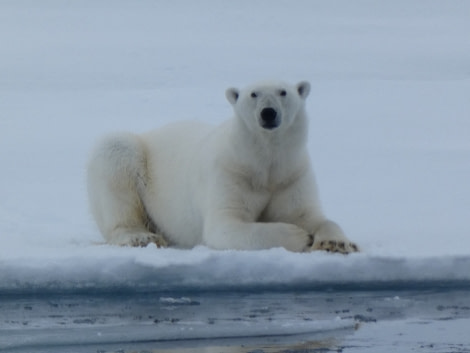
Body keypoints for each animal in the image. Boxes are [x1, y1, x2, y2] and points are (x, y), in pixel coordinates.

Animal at [88, 81, 358, 252]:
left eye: (283, 92)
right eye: (253, 94)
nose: (268, 113)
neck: (263, 163)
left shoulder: (291, 175)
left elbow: (307, 214)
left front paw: (337, 243)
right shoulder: (231, 174)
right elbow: (227, 226)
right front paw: (301, 236)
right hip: (134, 155)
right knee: (116, 156)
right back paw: (140, 236)